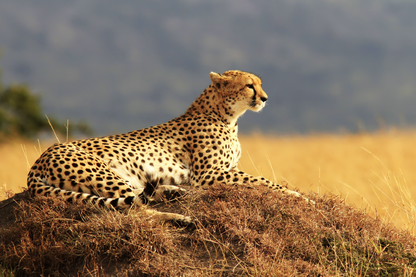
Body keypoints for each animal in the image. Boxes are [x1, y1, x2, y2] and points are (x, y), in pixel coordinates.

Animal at [26, 70, 312, 222]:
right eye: (250, 86)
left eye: (260, 84)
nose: (265, 98)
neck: (227, 116)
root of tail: (38, 160)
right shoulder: (208, 175)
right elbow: (263, 181)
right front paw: (300, 196)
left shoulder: (221, 171)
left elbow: (260, 180)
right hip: (104, 173)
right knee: (134, 208)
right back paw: (181, 217)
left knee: (141, 195)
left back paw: (177, 194)